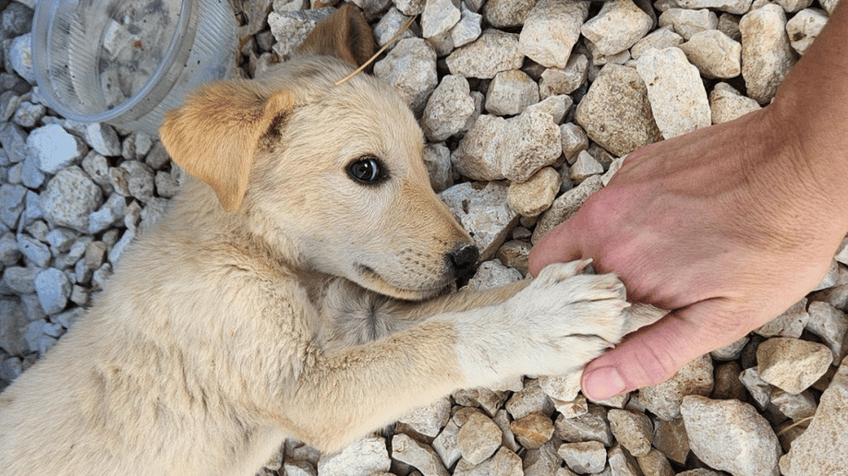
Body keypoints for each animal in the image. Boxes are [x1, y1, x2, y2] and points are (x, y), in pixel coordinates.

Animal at [0, 7, 644, 476]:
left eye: (421, 157)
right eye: (365, 170)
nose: (466, 259)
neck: (253, 249)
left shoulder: (358, 322)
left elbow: (452, 314)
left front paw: (577, 297)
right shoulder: (304, 388)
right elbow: (435, 340)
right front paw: (543, 321)